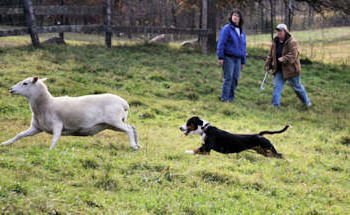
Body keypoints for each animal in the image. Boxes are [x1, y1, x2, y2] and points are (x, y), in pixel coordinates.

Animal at [0, 77, 139, 149]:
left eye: (25, 83)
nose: (11, 89)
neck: (46, 105)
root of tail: (124, 103)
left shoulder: (57, 125)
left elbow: (55, 139)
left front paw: (50, 150)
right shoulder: (36, 128)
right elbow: (19, 135)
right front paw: (5, 143)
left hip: (114, 121)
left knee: (129, 130)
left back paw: (133, 145)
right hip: (112, 124)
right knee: (133, 127)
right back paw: (137, 145)